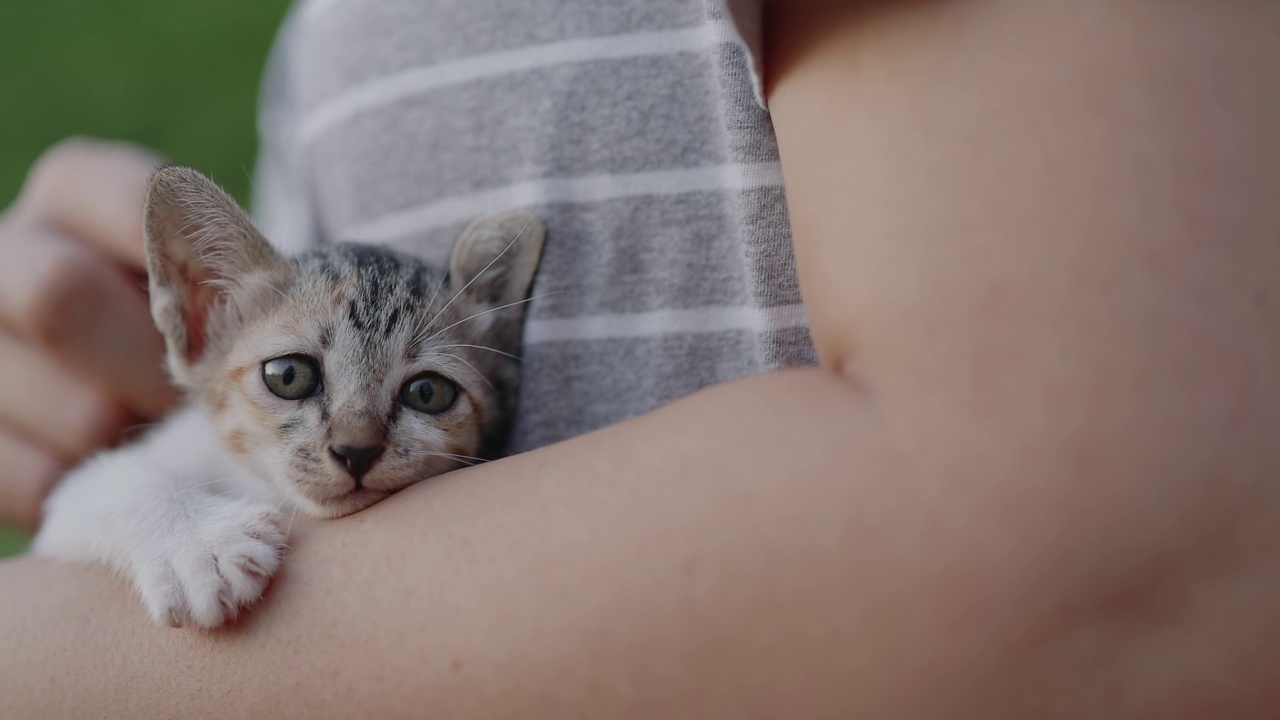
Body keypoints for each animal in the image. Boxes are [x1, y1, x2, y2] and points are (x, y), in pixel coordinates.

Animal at [30, 165, 540, 625]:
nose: (356, 451)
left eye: (428, 392)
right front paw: (201, 545)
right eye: (290, 376)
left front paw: (201, 544)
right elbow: (106, 482)